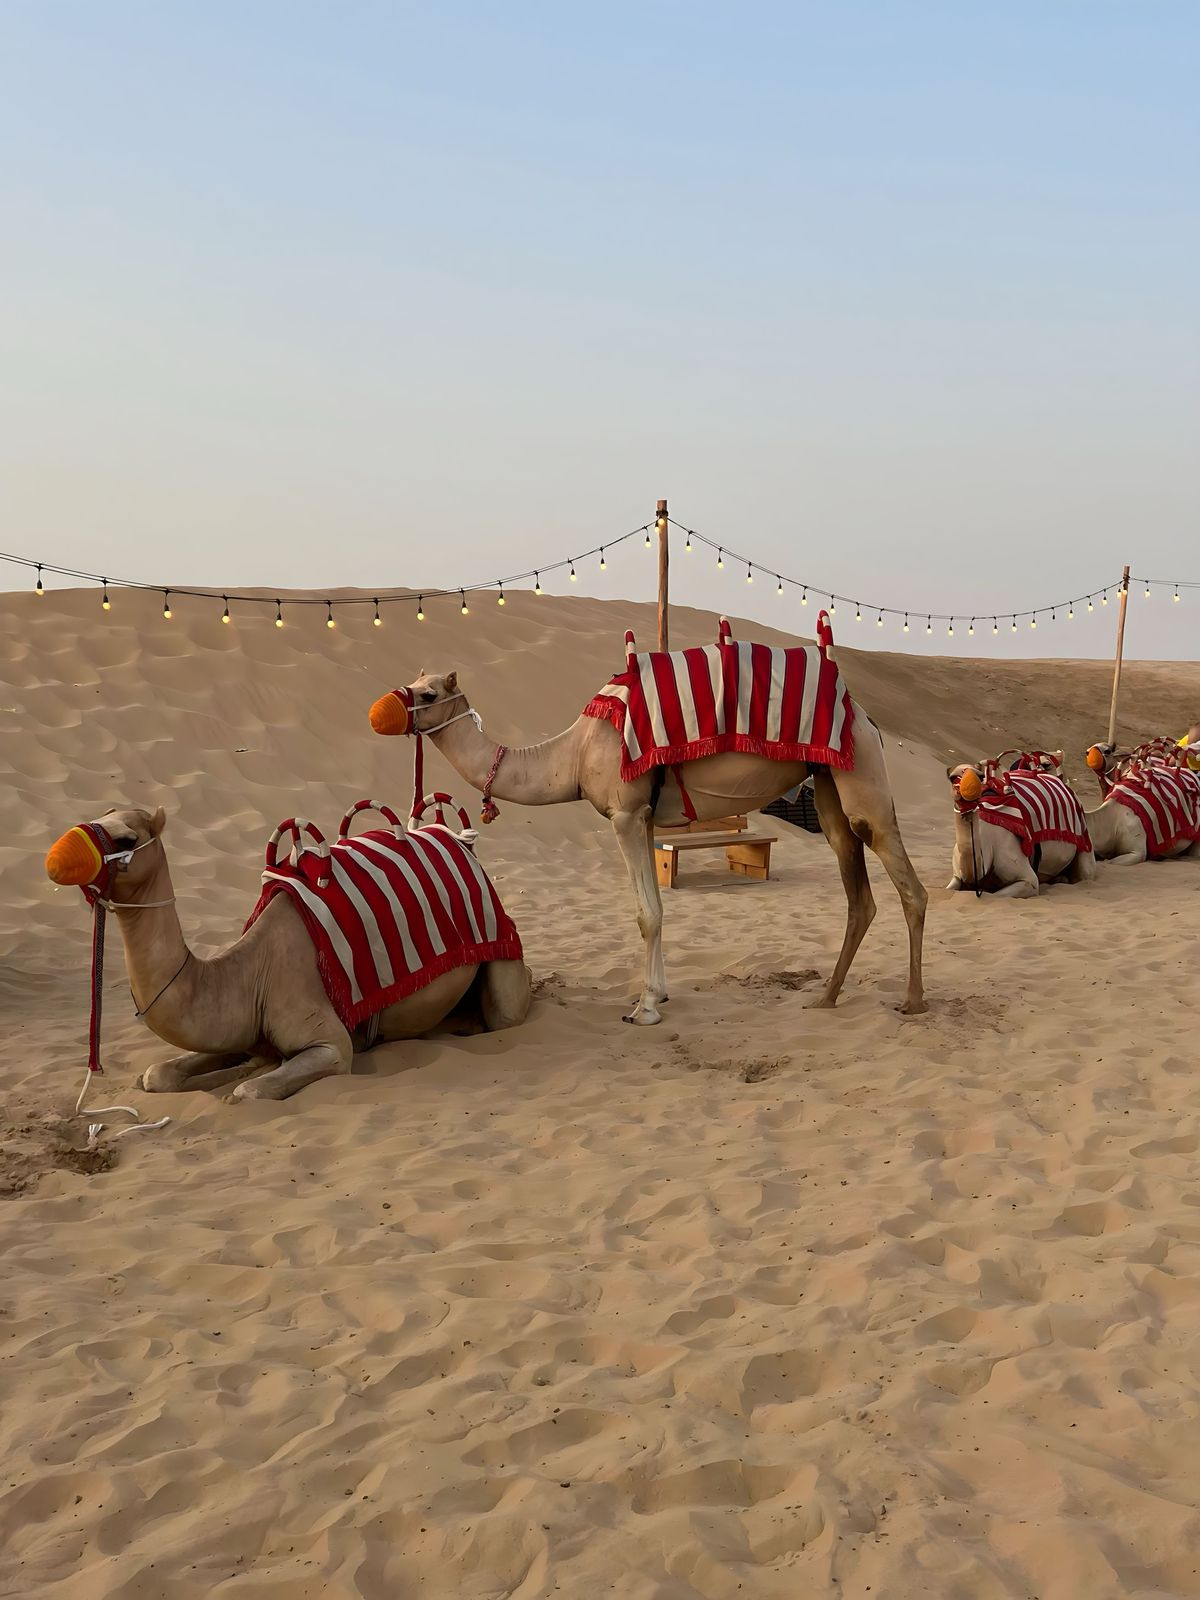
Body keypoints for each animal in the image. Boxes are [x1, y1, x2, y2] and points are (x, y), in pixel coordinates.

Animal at [45, 806, 531, 1101]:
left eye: (127, 838)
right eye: (96, 817)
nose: (57, 858)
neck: (246, 974)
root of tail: (461, 840)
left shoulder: (330, 1043)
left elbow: (250, 1091)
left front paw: (241, 1080)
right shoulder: (243, 1030)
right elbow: (158, 1074)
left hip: (502, 956)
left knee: (507, 1009)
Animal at [370, 670, 927, 1023]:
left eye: (426, 694)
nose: (379, 712)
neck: (571, 756)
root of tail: (869, 720)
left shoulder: (625, 813)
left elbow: (647, 914)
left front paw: (644, 1008)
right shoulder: (645, 820)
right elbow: (658, 907)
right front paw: (658, 993)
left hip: (863, 777)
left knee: (907, 885)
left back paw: (913, 1001)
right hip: (829, 785)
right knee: (858, 892)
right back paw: (826, 998)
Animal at [946, 763, 1097, 897]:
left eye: (981, 776)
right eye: (952, 778)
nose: (969, 789)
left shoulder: (1028, 879)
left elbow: (997, 895)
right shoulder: (957, 876)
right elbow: (949, 889)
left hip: (1084, 836)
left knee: (1085, 874)